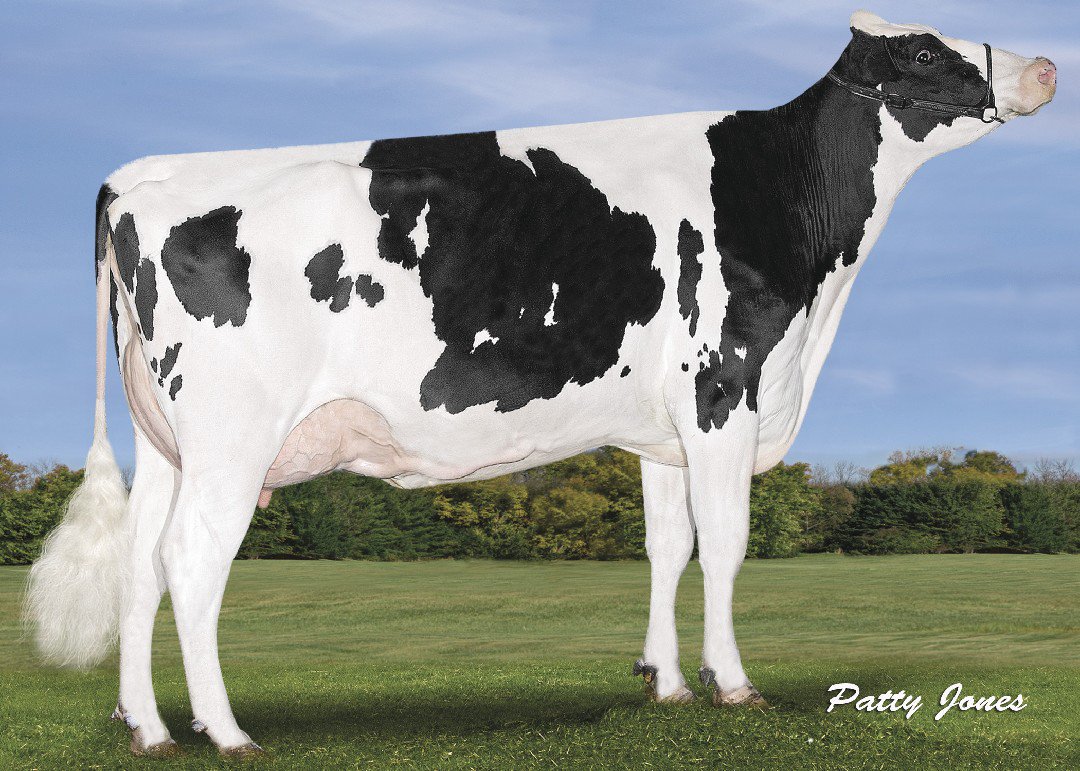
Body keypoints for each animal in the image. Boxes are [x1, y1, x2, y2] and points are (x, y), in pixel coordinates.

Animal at [25, 10, 1056, 757]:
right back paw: (227, 731)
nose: (1045, 68)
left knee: (138, 564)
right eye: (924, 48)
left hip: (168, 443)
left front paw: (664, 682)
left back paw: (147, 726)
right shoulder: (725, 389)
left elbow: (667, 546)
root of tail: (138, 177)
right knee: (190, 561)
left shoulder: (665, 427)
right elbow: (725, 546)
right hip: (234, 437)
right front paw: (733, 684)